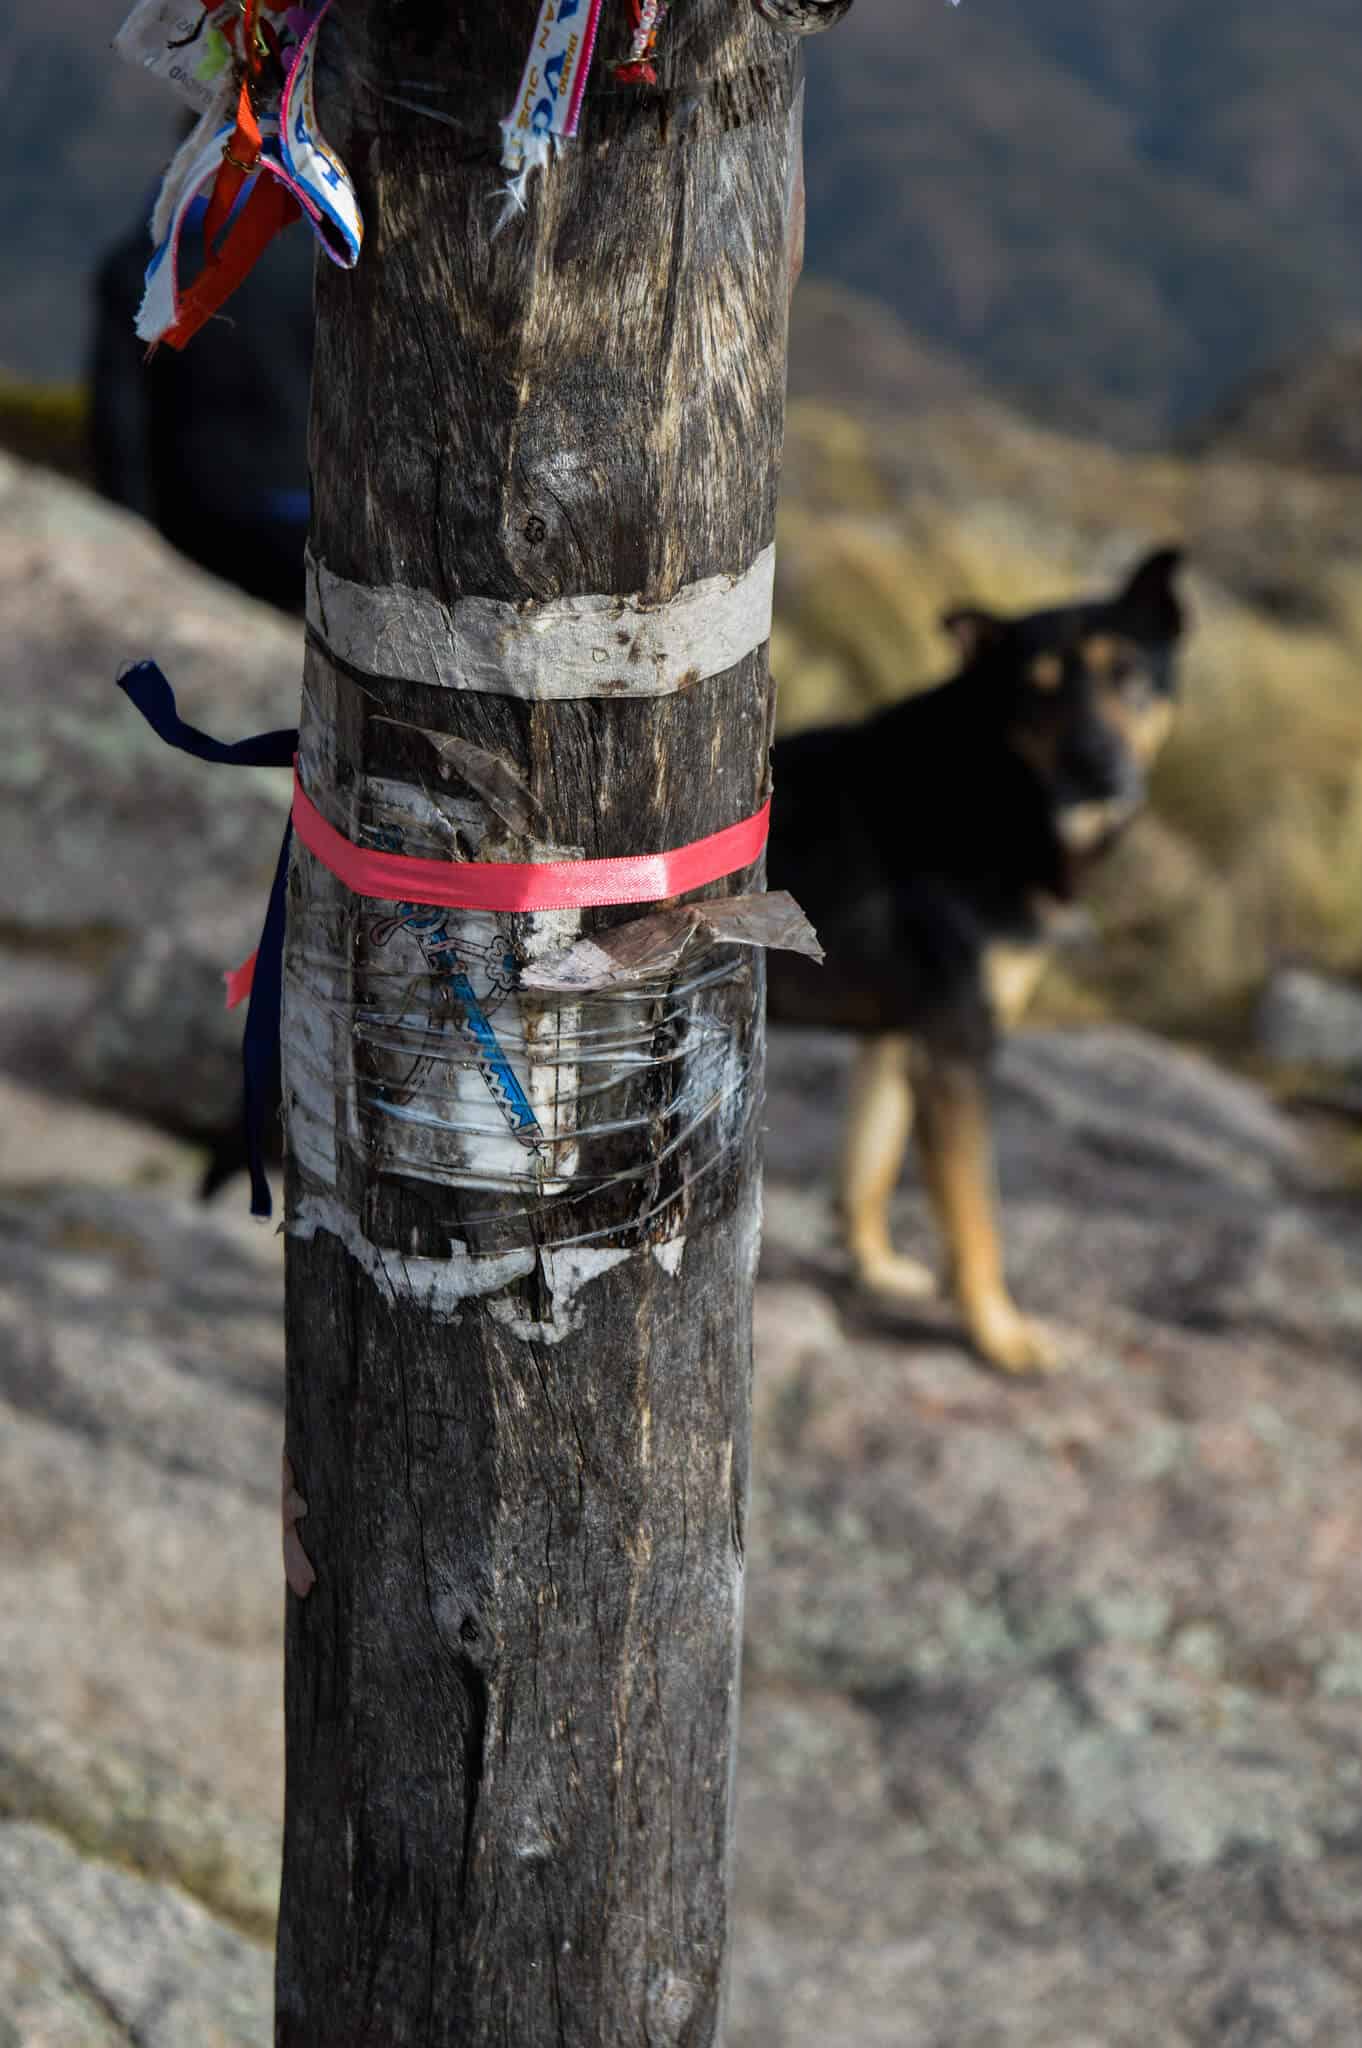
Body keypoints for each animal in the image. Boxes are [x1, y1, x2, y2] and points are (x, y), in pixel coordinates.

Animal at [770, 552, 1187, 1368]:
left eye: (1126, 671)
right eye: (1038, 687)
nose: (1097, 766)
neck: (993, 786)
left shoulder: (900, 1038)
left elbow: (868, 1165)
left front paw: (877, 1268)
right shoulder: (956, 1049)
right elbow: (974, 1218)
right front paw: (999, 1336)